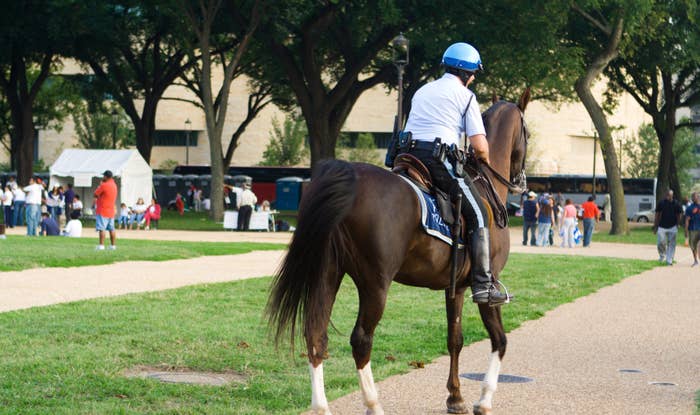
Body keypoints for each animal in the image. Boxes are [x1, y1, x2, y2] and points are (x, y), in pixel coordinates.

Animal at [268, 92, 532, 415]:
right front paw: (483, 399)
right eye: (527, 133)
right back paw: (373, 403)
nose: (521, 182)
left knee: (316, 334)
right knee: (361, 340)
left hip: (327, 273)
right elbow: (500, 340)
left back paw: (321, 407)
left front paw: (455, 397)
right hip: (375, 284)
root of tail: (351, 178)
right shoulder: (486, 285)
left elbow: (454, 339)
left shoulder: (455, 288)